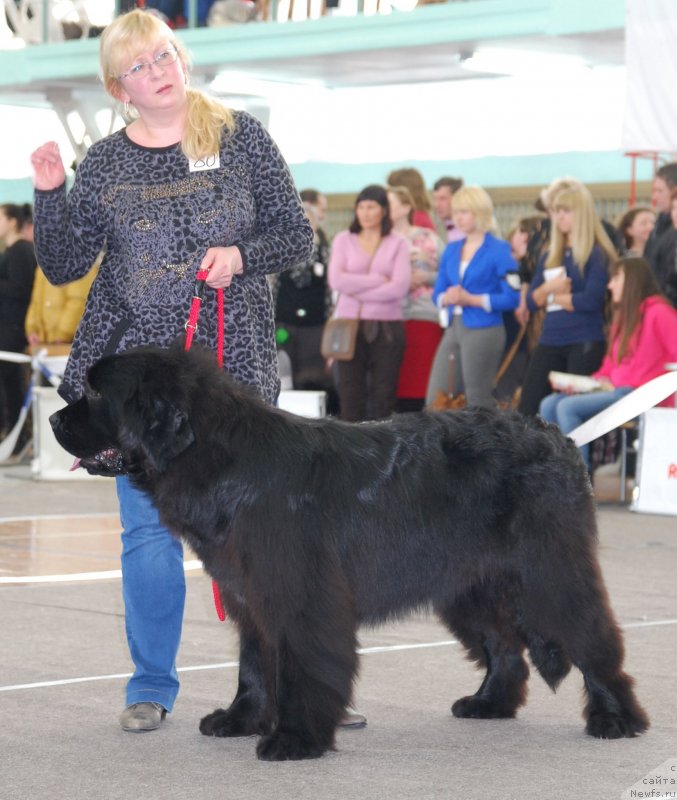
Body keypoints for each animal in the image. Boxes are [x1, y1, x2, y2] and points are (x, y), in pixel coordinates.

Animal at [50, 346, 648, 760]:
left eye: (97, 396)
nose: (54, 420)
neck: (224, 462)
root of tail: (559, 437)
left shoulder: (300, 594)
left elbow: (301, 668)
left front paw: (294, 738)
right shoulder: (251, 594)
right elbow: (253, 665)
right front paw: (241, 719)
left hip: (548, 571)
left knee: (594, 636)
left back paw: (616, 719)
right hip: (466, 584)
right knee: (506, 648)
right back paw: (489, 704)